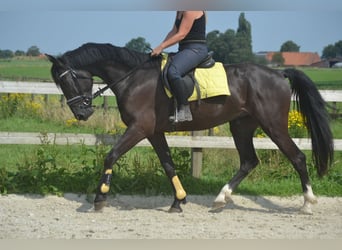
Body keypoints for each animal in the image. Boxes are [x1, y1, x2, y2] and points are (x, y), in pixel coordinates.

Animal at [46, 42, 334, 213]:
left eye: (68, 81)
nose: (82, 113)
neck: (133, 78)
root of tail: (278, 74)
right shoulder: (154, 132)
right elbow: (168, 164)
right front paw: (179, 200)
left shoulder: (139, 129)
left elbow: (111, 155)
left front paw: (100, 197)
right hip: (241, 125)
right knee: (249, 161)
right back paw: (220, 199)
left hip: (273, 125)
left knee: (297, 157)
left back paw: (308, 203)